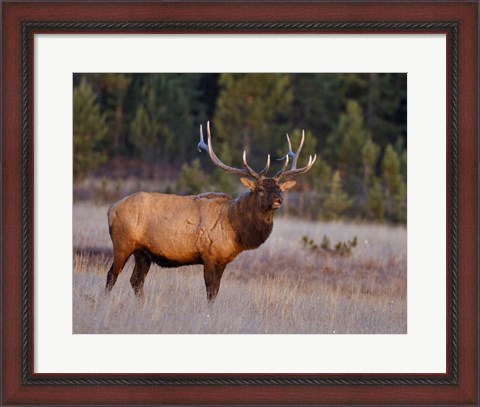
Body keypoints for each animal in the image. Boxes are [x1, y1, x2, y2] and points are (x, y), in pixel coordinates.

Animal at [105, 122, 316, 302]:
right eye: (261, 189)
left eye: (279, 189)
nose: (279, 199)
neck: (236, 229)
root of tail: (110, 209)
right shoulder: (209, 256)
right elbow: (210, 292)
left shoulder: (223, 260)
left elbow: (215, 292)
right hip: (122, 242)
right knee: (112, 275)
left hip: (143, 252)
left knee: (136, 280)